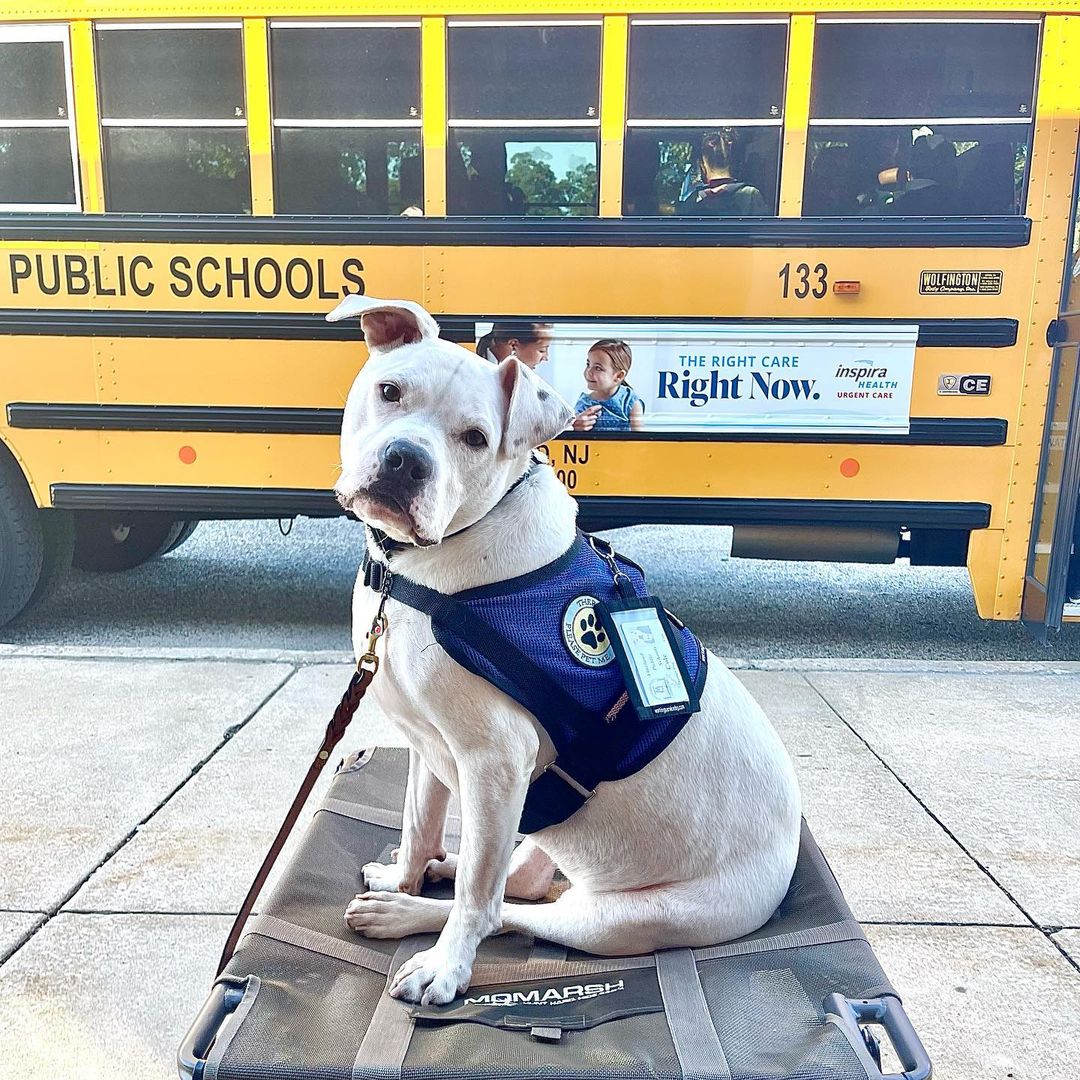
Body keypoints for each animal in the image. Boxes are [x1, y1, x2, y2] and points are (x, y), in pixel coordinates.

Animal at [330, 293, 803, 1002]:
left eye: (476, 439)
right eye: (390, 392)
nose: (405, 460)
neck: (425, 560)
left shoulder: (495, 761)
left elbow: (477, 901)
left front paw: (446, 967)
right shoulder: (428, 746)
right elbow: (417, 826)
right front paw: (407, 872)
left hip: (618, 918)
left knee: (509, 909)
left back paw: (410, 918)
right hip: (537, 832)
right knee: (518, 878)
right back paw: (425, 881)